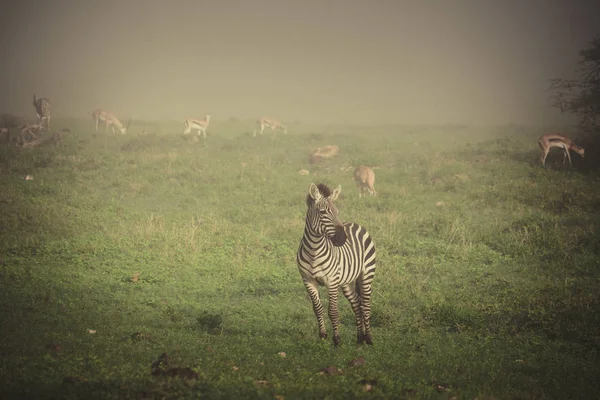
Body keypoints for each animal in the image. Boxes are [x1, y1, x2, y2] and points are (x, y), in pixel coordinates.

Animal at [296, 183, 376, 346]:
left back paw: (369, 338)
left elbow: (333, 311)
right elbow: (317, 309)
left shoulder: (331, 281)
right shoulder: (308, 280)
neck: (314, 251)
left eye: (337, 212)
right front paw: (323, 335)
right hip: (346, 281)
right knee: (357, 304)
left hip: (367, 274)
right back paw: (360, 338)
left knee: (366, 305)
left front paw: (337, 339)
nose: (342, 238)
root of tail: (355, 223)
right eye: (322, 212)